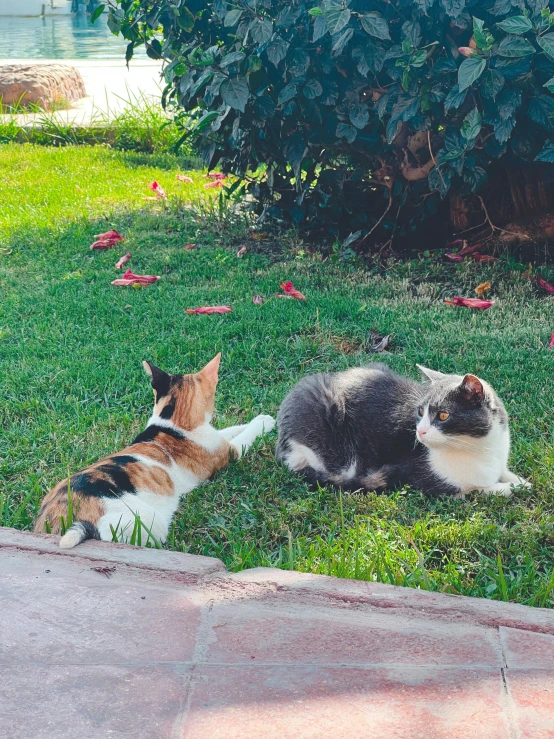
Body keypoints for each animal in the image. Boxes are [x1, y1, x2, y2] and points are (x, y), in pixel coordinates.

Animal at [34, 356, 274, 548]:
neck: (173, 422)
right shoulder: (229, 452)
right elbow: (243, 437)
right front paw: (265, 423)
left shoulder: (216, 437)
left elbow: (230, 430)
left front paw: (259, 418)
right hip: (145, 522)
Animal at [274, 362, 528, 498]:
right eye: (420, 411)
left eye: (443, 415)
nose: (420, 432)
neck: (481, 450)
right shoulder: (427, 479)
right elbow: (478, 489)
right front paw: (510, 487)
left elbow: (508, 475)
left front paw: (521, 481)